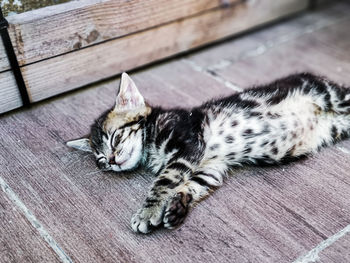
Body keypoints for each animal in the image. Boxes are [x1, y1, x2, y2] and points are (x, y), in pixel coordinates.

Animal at [67, 71, 350, 233]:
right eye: (101, 160)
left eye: (115, 138)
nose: (112, 161)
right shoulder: (210, 166)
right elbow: (192, 185)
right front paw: (177, 206)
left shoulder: (188, 143)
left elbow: (163, 181)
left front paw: (148, 212)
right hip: (339, 125)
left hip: (337, 98)